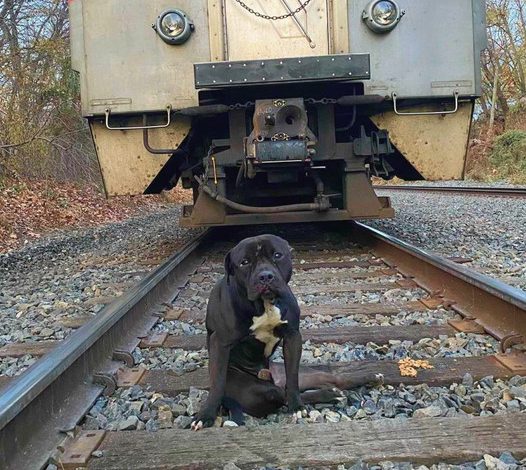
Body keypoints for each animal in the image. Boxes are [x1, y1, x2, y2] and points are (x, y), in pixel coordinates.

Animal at [192, 232, 382, 430]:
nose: (265, 276)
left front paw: (296, 405)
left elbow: (292, 378)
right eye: (244, 262)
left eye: (277, 255)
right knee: (278, 394)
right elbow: (217, 382)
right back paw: (330, 393)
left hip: (307, 375)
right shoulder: (220, 342)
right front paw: (206, 414)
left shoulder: (292, 337)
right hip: (256, 392)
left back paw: (368, 378)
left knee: (333, 381)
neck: (265, 304)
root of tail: (268, 375)